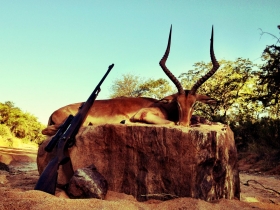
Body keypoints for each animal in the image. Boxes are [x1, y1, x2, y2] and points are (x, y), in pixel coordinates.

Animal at [42, 25, 220, 136]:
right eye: (177, 102)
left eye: (194, 104)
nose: (184, 125)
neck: (163, 106)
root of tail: (53, 112)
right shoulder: (145, 114)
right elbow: (170, 123)